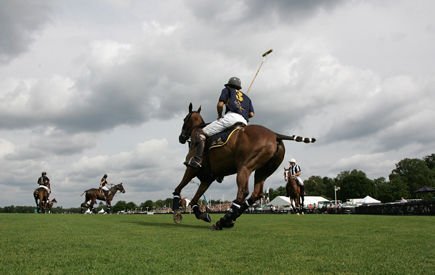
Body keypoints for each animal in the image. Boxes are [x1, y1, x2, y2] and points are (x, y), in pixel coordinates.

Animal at [172, 103, 316, 231]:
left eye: (184, 119)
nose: (181, 138)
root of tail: (275, 135)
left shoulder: (192, 168)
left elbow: (178, 189)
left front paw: (176, 210)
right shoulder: (207, 178)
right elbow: (194, 200)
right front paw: (202, 215)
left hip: (245, 167)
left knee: (243, 192)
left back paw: (223, 222)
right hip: (263, 170)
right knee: (256, 193)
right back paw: (230, 219)